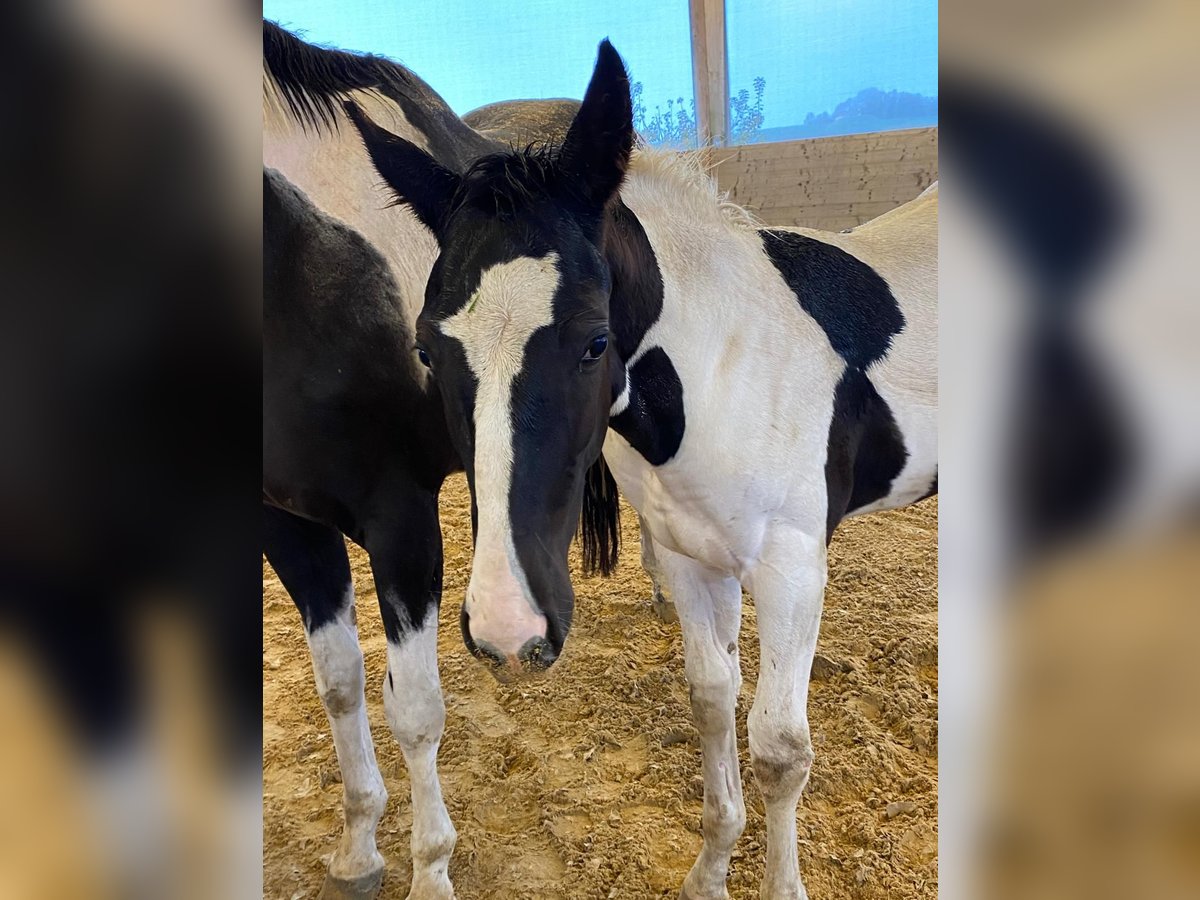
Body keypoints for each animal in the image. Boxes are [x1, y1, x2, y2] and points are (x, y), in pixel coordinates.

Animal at [348, 40, 936, 900]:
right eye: (427, 348)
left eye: (596, 340)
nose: (507, 630)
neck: (731, 364)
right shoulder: (693, 562)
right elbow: (712, 699)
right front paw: (710, 873)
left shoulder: (793, 571)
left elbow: (780, 750)